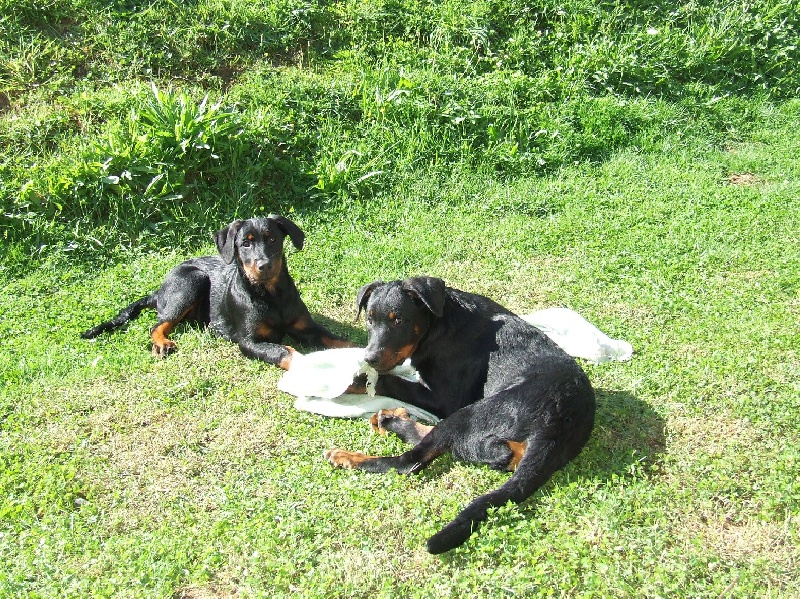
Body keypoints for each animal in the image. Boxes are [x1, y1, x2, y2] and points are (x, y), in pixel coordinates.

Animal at [81, 213, 354, 368]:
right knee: (158, 324)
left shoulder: (307, 328)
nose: (264, 266)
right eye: (245, 244)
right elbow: (284, 352)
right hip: (192, 282)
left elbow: (338, 340)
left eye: (273, 239)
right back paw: (162, 343)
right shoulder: (249, 341)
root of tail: (159, 292)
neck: (271, 295)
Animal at [324, 278, 592, 556]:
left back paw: (351, 454)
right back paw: (390, 419)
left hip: (473, 412)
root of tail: (557, 426)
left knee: (409, 461)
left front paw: (348, 380)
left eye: (398, 320)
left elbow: (389, 381)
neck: (440, 325)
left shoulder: (444, 398)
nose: (369, 358)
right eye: (369, 319)